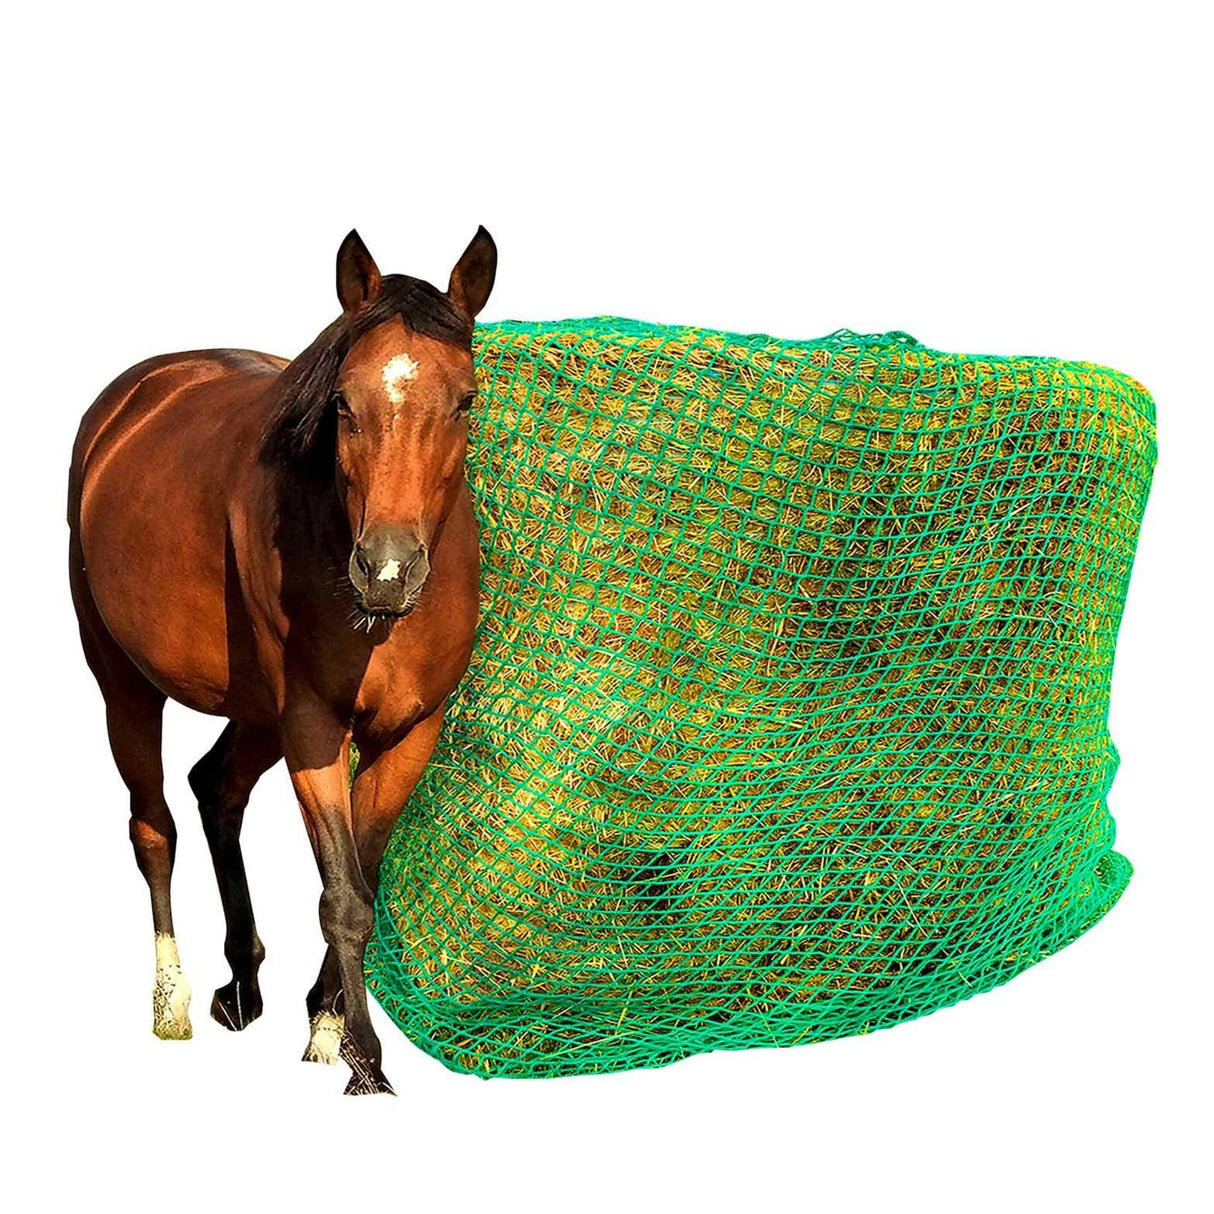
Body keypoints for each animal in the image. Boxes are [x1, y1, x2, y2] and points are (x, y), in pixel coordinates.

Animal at [67, 227, 496, 1094]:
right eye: (343, 404)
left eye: (465, 401)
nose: (387, 570)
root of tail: (134, 396)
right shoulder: (313, 727)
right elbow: (344, 896)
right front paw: (366, 1063)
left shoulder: (410, 732)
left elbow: (364, 873)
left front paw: (326, 1026)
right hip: (123, 681)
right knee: (153, 827)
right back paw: (173, 998)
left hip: (254, 709)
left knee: (216, 789)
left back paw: (243, 981)